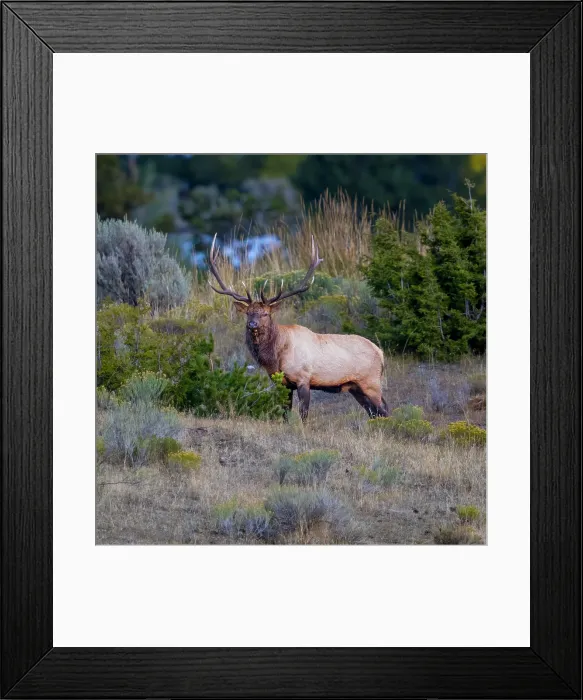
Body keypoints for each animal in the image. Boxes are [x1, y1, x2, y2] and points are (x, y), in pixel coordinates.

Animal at [208, 234, 389, 422]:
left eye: (265, 314)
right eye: (248, 313)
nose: (252, 324)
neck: (276, 357)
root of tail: (381, 353)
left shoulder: (304, 378)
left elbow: (303, 415)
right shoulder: (283, 383)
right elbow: (285, 414)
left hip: (371, 381)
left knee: (384, 409)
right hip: (355, 387)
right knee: (374, 412)